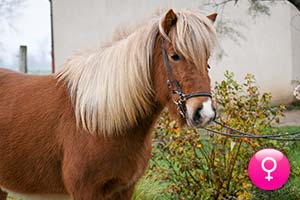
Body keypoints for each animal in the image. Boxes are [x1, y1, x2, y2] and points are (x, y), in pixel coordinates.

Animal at [0, 9, 218, 200]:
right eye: (175, 56)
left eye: (207, 59)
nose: (204, 112)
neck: (99, 119)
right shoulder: (85, 191)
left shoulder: (124, 190)